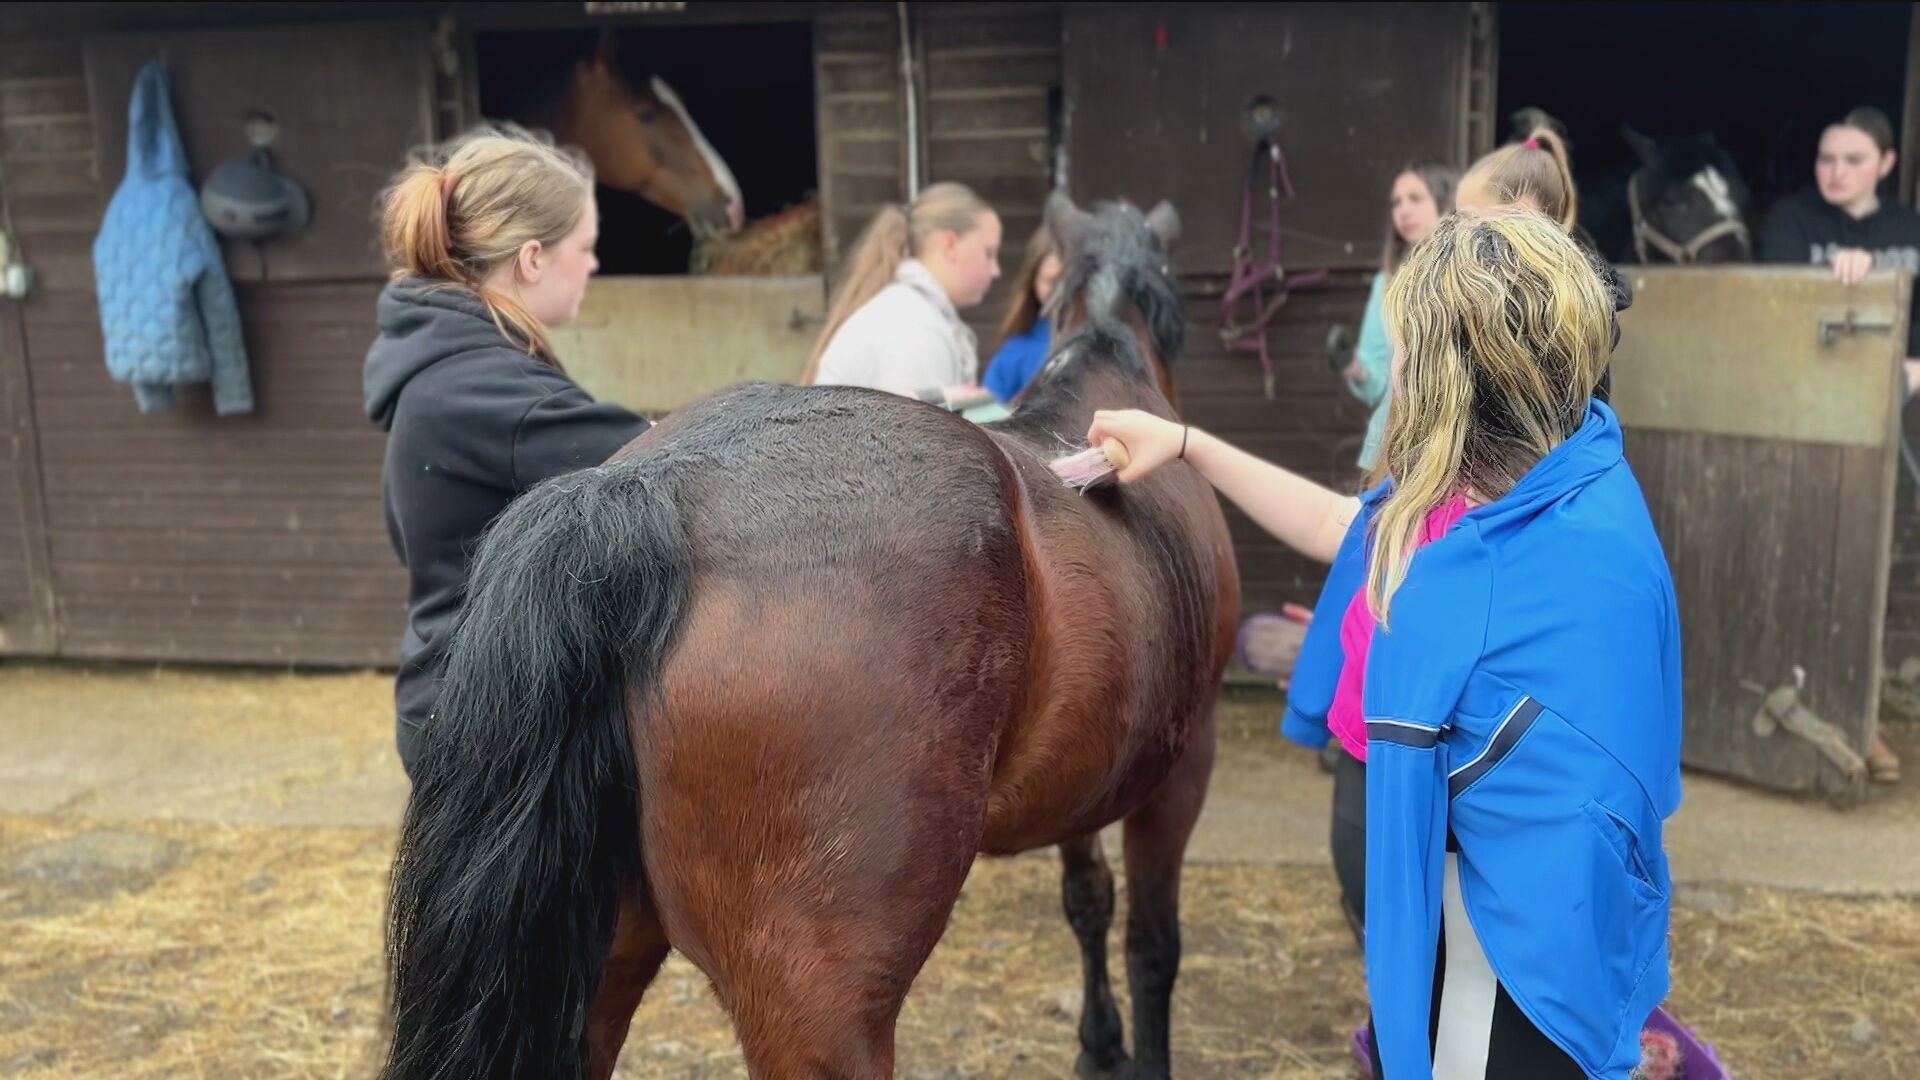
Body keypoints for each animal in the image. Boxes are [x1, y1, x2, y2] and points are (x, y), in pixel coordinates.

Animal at [382, 189, 1236, 1068]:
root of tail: (652, 489)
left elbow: (1088, 901)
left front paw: (1099, 1046)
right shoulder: (1181, 768)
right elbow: (1153, 947)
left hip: (596, 961)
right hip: (820, 1011)